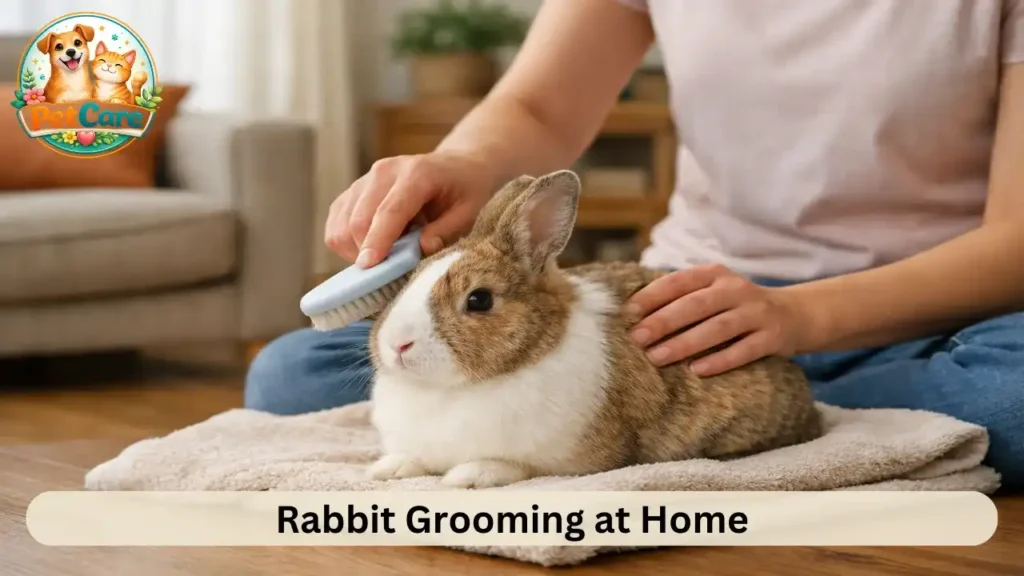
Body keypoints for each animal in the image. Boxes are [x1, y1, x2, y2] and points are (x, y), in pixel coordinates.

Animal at [366, 170, 822, 489]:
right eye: (408, 281)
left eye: (479, 300)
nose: (397, 345)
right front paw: (388, 468)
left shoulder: (558, 459)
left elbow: (511, 464)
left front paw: (468, 476)